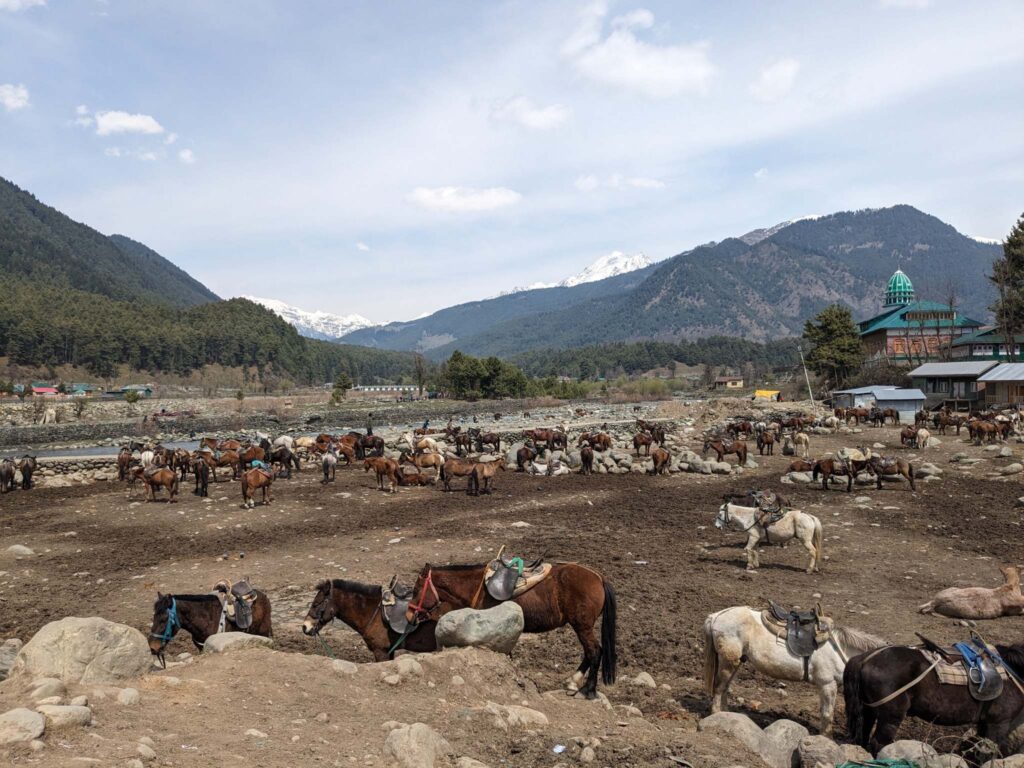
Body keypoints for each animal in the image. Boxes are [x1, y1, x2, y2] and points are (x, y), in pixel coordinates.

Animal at [405, 561, 614, 700]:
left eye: (415, 590)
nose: (408, 615)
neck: (476, 586)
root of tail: (598, 577)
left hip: (582, 626)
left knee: (594, 651)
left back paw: (588, 690)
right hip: (582, 627)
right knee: (590, 651)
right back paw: (573, 682)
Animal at [704, 606, 888, 741]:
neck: (839, 649)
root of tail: (716, 615)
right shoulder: (828, 684)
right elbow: (827, 715)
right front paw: (827, 740)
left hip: (736, 662)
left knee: (725, 687)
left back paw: (727, 714)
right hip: (729, 662)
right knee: (719, 688)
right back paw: (717, 715)